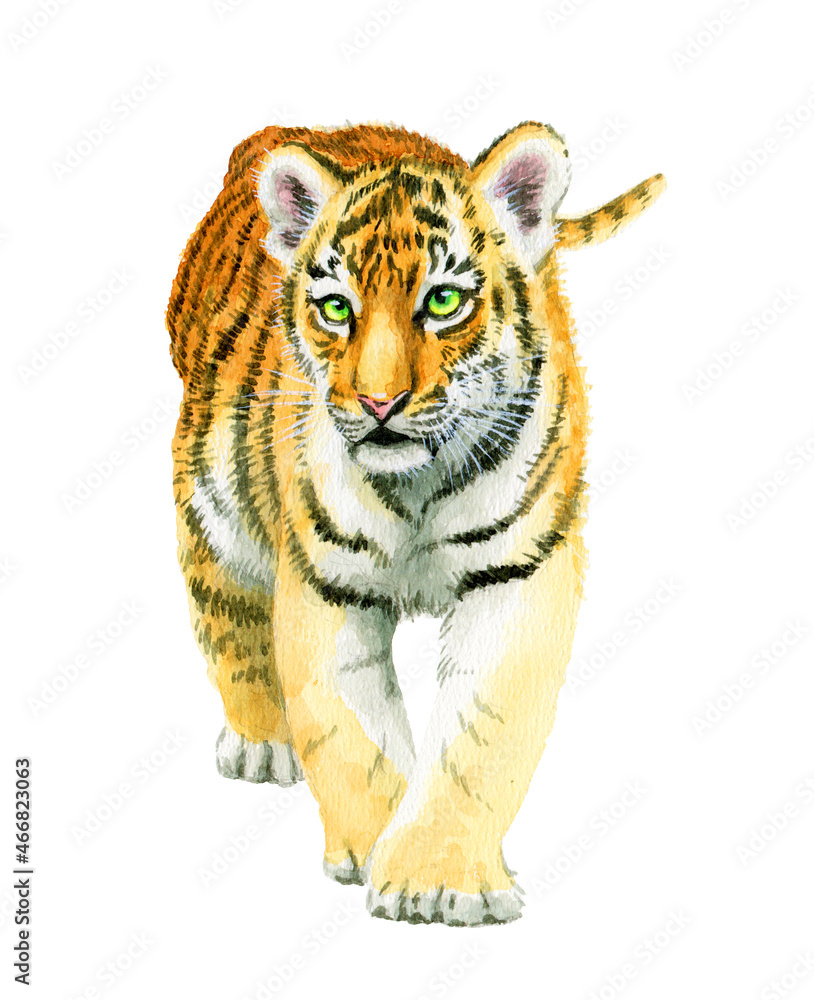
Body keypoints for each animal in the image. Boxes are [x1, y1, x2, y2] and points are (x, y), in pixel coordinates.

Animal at [167, 121, 665, 926]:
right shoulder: (326, 583)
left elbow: (480, 740)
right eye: (337, 309)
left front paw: (437, 878)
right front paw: (377, 851)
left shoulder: (517, 573)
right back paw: (261, 743)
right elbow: (351, 735)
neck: (418, 487)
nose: (379, 402)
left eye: (444, 300)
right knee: (224, 608)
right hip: (212, 491)